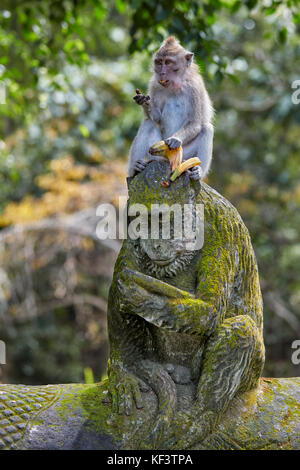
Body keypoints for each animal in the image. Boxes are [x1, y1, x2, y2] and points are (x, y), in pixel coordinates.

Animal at [127, 35, 214, 180]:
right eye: (159, 62)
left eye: (168, 62)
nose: (162, 72)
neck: (175, 86)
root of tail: (168, 161)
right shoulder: (154, 85)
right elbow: (155, 118)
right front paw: (145, 102)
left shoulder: (195, 88)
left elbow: (195, 123)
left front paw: (175, 139)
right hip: (155, 154)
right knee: (148, 123)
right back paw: (135, 168)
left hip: (184, 155)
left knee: (207, 128)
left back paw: (198, 171)